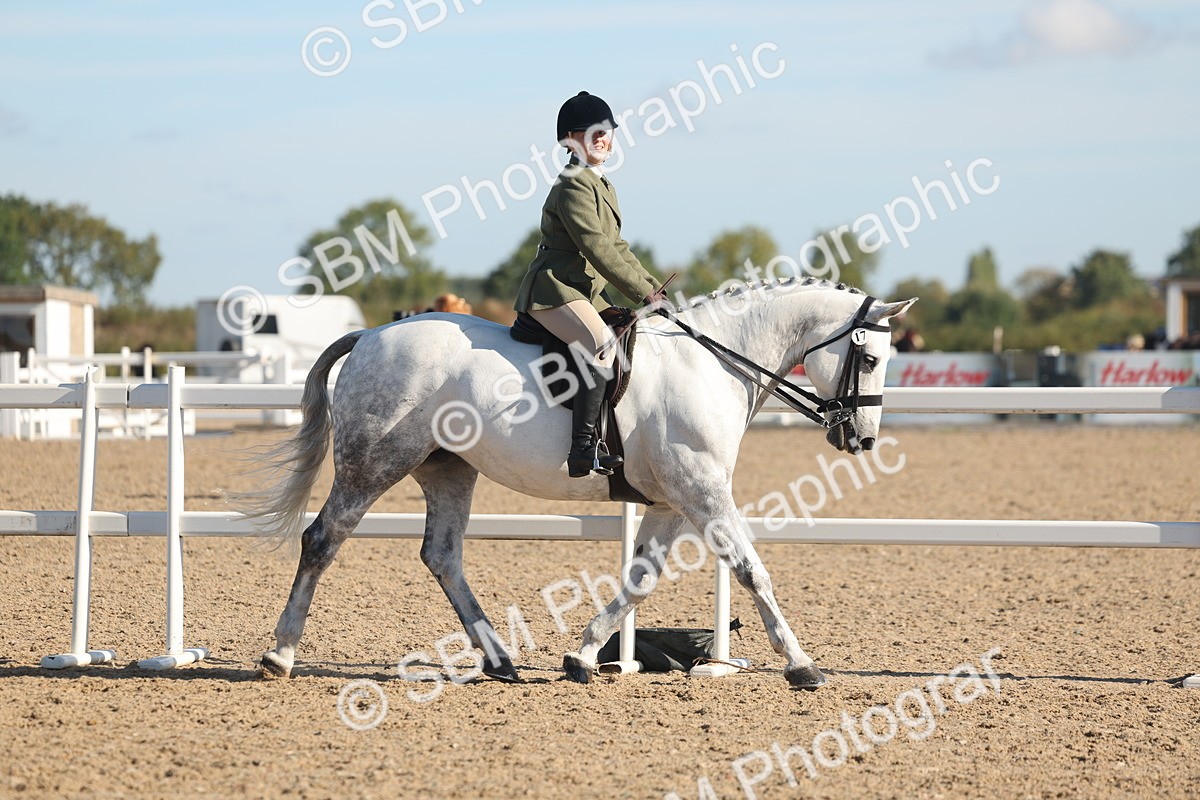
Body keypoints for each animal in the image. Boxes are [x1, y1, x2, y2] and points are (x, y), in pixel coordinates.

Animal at [244, 277, 916, 689]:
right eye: (871, 359)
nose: (862, 439)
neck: (715, 363)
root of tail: (371, 335)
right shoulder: (702, 491)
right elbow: (753, 570)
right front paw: (802, 665)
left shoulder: (673, 501)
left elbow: (641, 579)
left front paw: (584, 654)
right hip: (376, 461)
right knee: (324, 540)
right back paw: (279, 654)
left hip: (448, 468)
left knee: (442, 555)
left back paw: (501, 660)